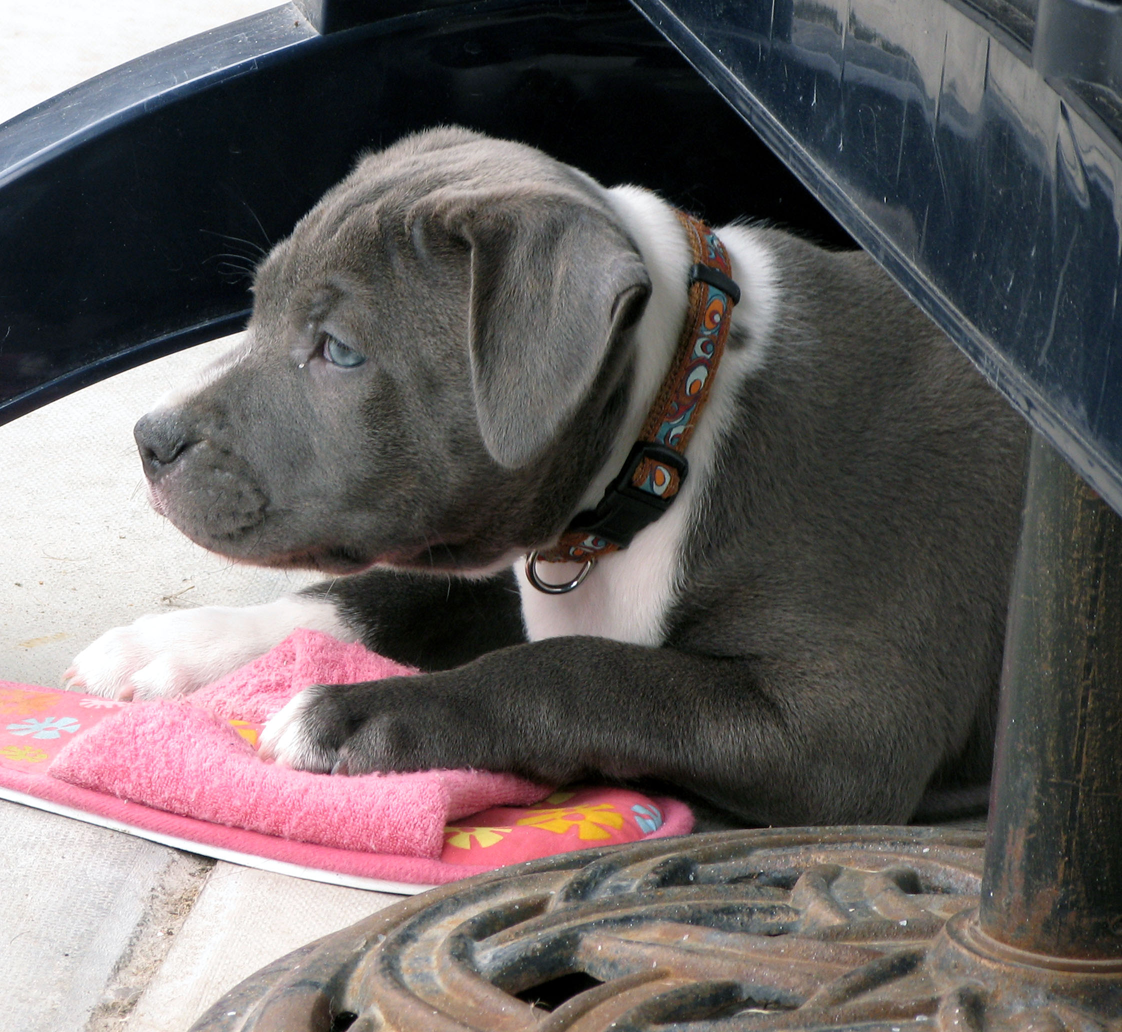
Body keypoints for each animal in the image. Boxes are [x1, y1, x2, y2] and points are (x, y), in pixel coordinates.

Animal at [65, 125, 1027, 825]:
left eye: (338, 350)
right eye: (256, 304)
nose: (150, 439)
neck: (670, 429)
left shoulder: (836, 731)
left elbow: (580, 670)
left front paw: (353, 716)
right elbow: (381, 595)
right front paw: (173, 645)